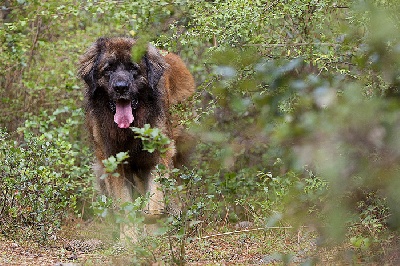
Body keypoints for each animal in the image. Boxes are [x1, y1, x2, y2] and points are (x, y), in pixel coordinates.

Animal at [77, 36, 195, 238]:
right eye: (108, 69)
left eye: (134, 68)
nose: (121, 88)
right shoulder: (113, 163)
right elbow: (125, 206)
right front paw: (129, 239)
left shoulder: (159, 155)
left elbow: (153, 205)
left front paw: (151, 227)